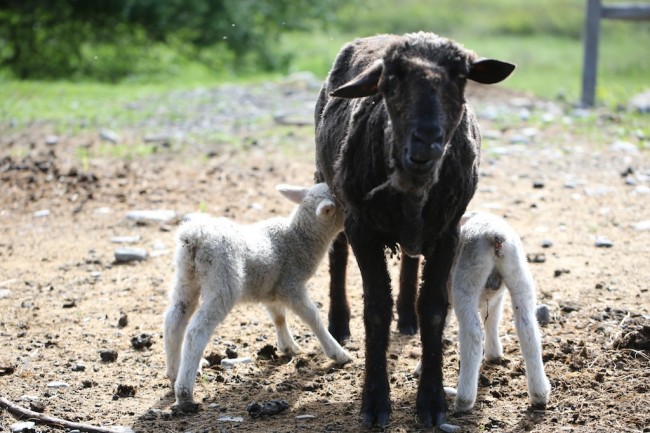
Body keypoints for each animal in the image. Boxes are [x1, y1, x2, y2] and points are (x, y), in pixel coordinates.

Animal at [165, 182, 352, 412]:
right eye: (342, 203)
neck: (299, 238)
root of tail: (194, 237)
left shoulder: (272, 288)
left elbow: (278, 316)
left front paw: (288, 347)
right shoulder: (291, 285)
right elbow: (312, 317)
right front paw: (338, 353)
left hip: (186, 276)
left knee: (175, 319)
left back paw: (174, 373)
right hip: (223, 282)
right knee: (196, 330)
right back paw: (184, 393)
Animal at [312, 32, 512, 426]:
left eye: (461, 77)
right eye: (390, 79)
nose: (426, 141)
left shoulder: (448, 231)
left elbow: (433, 308)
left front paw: (432, 402)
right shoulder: (362, 227)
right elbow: (376, 309)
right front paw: (375, 402)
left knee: (409, 257)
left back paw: (406, 317)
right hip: (327, 180)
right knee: (338, 251)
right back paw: (339, 322)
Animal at [418, 211, 548, 414]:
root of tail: (495, 235)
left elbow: (440, 323)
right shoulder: (496, 297)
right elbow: (493, 319)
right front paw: (494, 353)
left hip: (467, 279)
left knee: (472, 334)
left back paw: (464, 399)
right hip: (519, 275)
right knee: (528, 330)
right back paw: (539, 394)